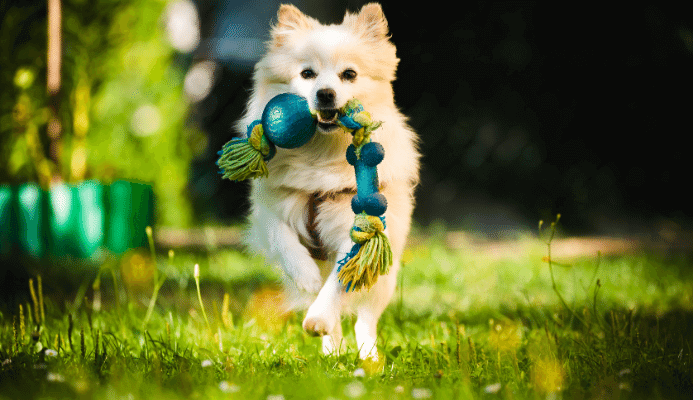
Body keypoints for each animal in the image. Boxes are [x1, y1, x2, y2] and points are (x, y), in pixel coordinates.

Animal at [238, 3, 418, 360]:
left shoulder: (359, 228)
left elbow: (338, 281)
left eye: (349, 74)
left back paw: (369, 358)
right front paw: (305, 276)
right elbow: (282, 238)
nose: (325, 94)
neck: (321, 155)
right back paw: (332, 352)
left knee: (365, 319)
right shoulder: (270, 208)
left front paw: (319, 316)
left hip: (383, 280)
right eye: (307, 74)